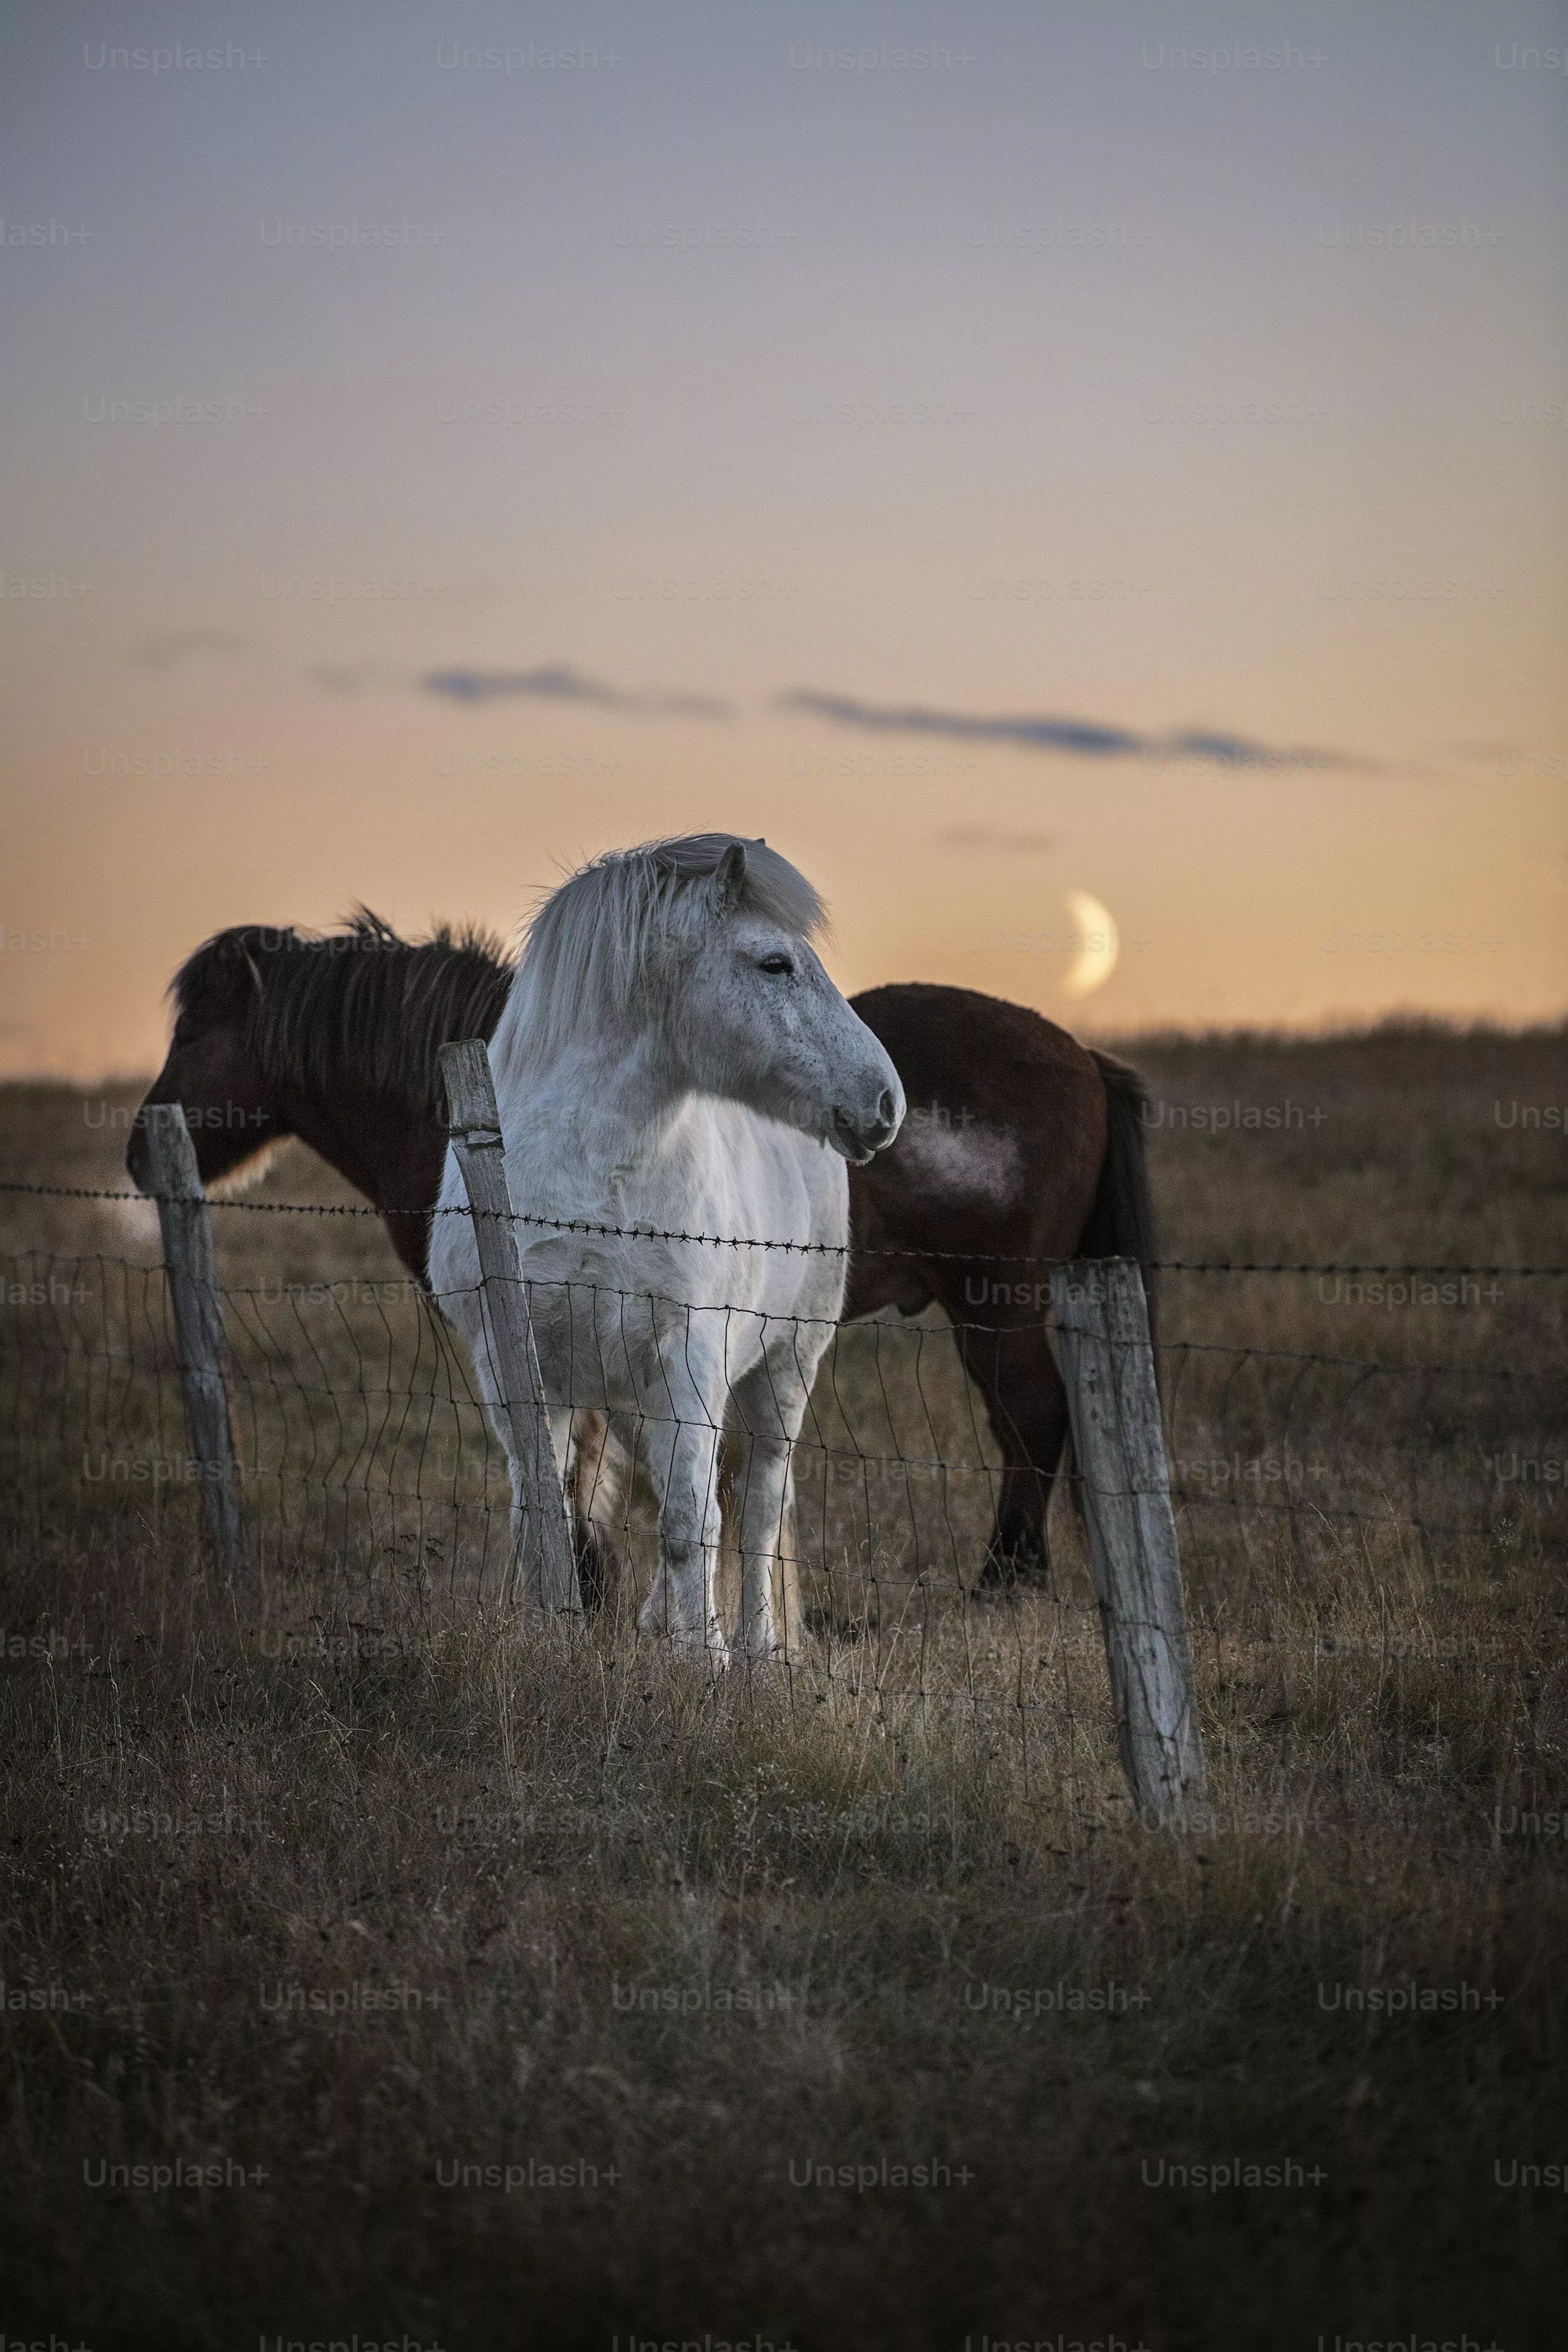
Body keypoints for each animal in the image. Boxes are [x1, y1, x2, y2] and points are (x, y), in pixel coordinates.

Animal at [131, 907, 1155, 1590]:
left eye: (191, 1029)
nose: (139, 1149)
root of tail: (1084, 1059)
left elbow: (584, 1471)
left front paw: (592, 1590)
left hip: (995, 1311)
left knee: (1033, 1427)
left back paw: (1005, 1583)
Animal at [428, 834, 904, 1660]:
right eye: (774, 964)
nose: (884, 1101)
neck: (591, 1172)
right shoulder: (516, 1362)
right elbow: (541, 1514)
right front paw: (545, 1642)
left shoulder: (689, 1353)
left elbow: (692, 1522)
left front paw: (704, 1663)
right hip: (637, 1396)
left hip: (784, 1367)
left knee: (756, 1508)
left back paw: (754, 1651)